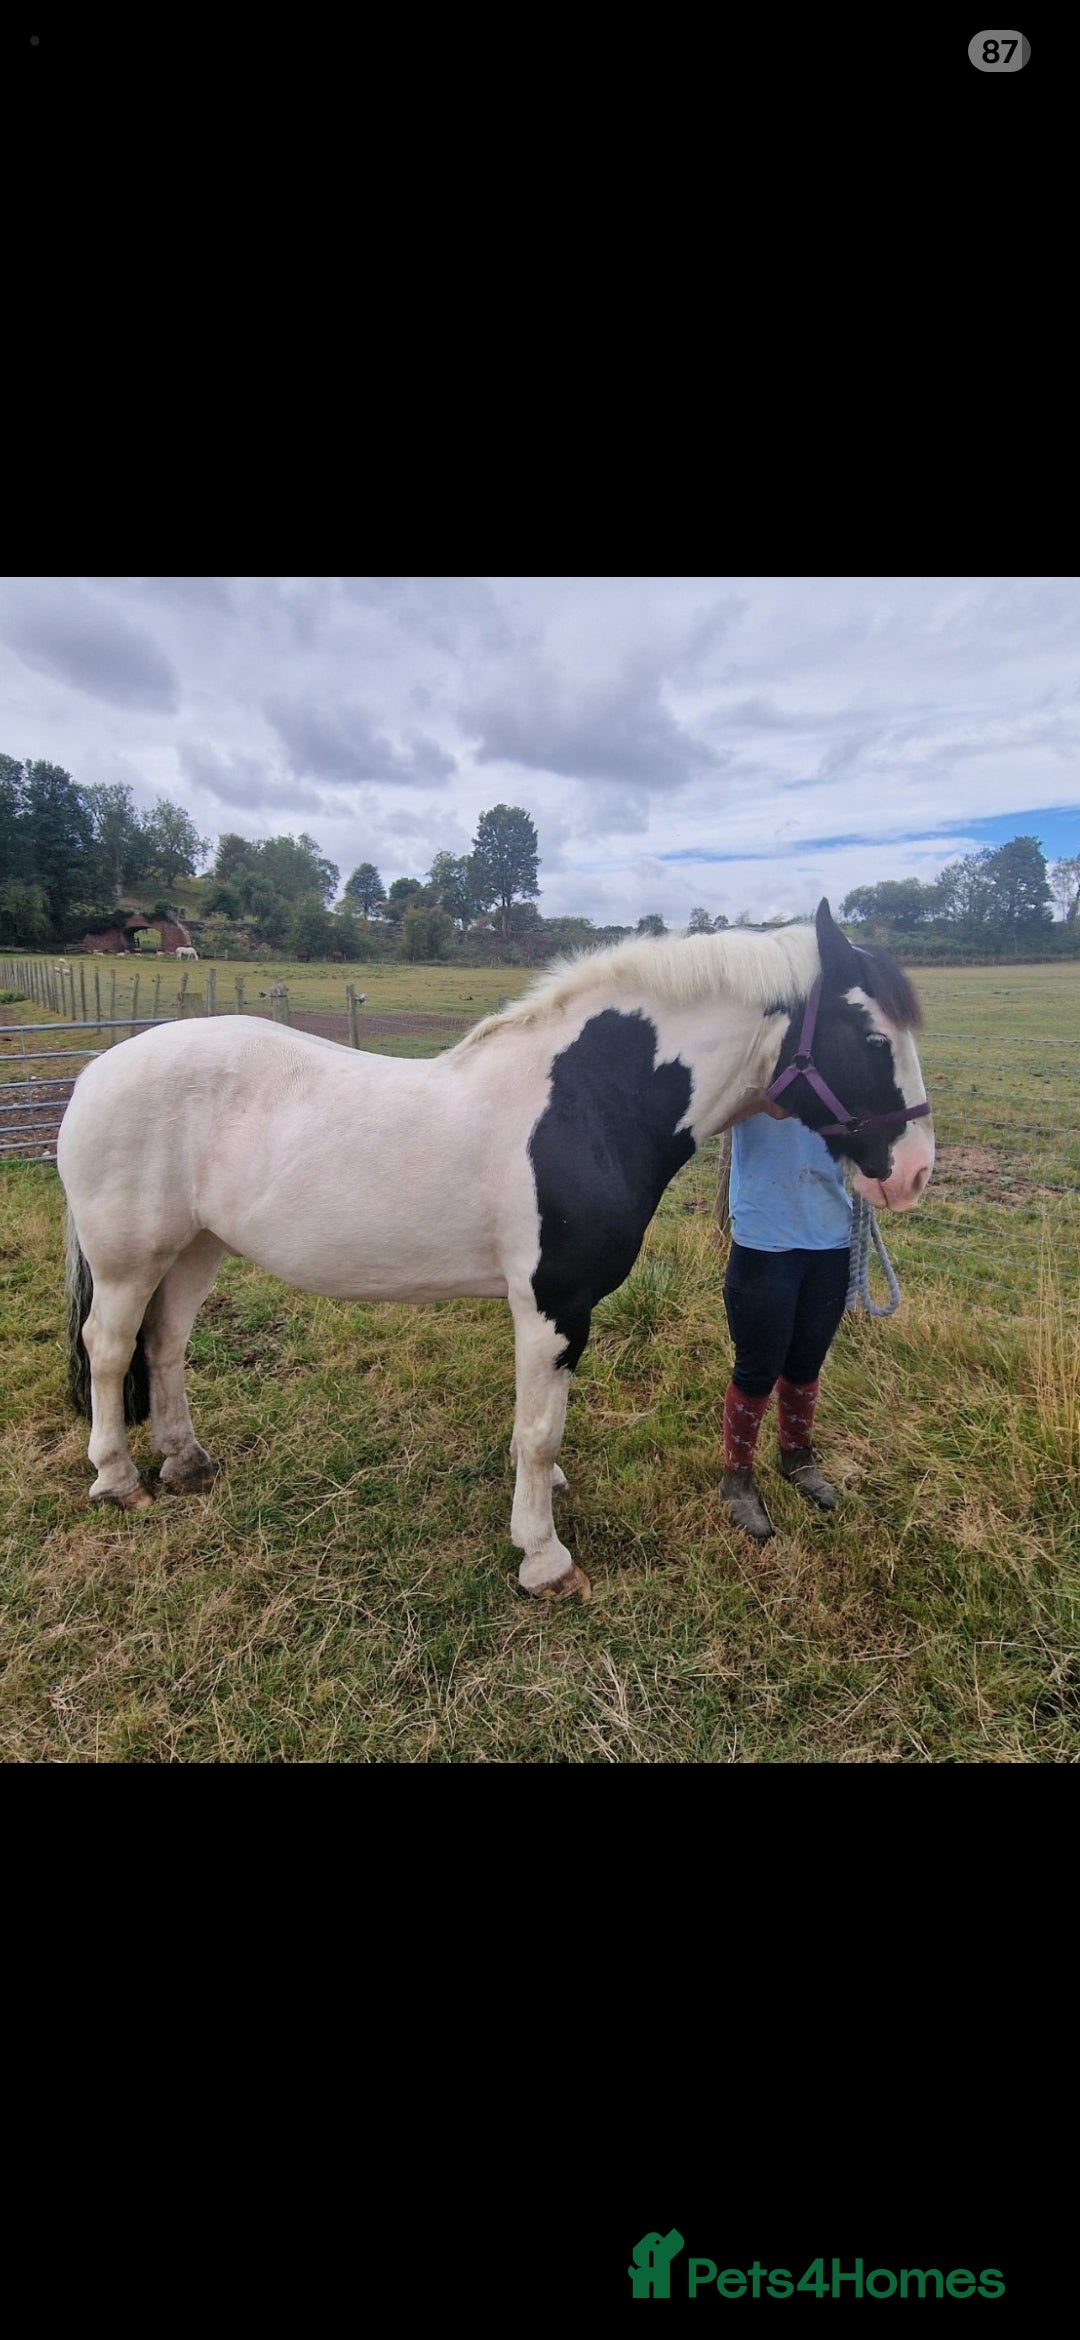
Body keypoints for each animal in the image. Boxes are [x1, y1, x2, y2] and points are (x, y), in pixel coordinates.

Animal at [56, 901, 934, 1601]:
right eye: (869, 1035)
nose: (916, 1172)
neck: (586, 1104)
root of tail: (100, 1070)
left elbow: (540, 1426)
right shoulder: (552, 1304)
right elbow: (539, 1430)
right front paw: (544, 1558)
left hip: (194, 1250)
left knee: (165, 1345)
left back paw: (186, 1462)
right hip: (131, 1259)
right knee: (110, 1348)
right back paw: (117, 1478)